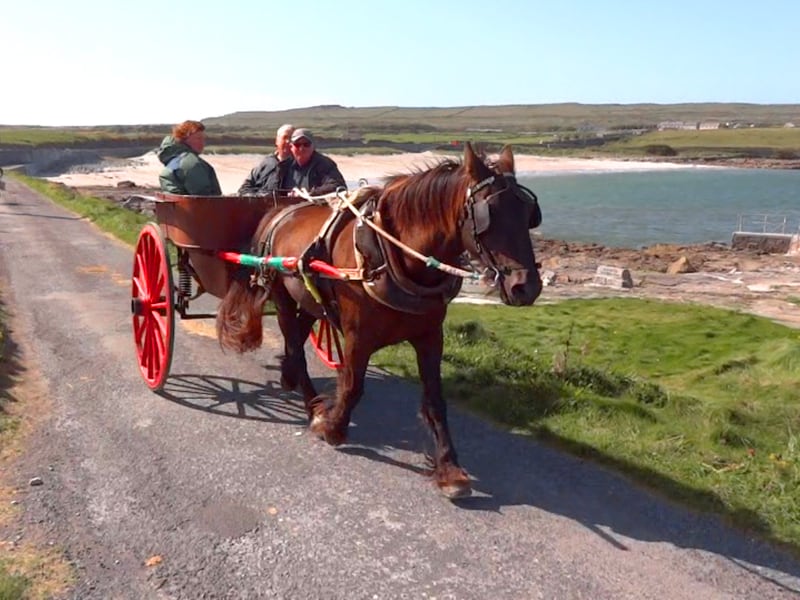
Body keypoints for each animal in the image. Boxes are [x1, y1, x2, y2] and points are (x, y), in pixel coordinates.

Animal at [217, 142, 544, 496]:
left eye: (528, 215)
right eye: (489, 215)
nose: (526, 287)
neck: (393, 255)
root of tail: (279, 212)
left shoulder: (430, 336)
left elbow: (434, 400)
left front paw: (449, 467)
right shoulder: (358, 336)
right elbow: (352, 386)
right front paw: (332, 426)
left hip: (308, 298)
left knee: (298, 338)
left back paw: (291, 380)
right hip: (283, 296)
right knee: (294, 344)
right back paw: (312, 404)